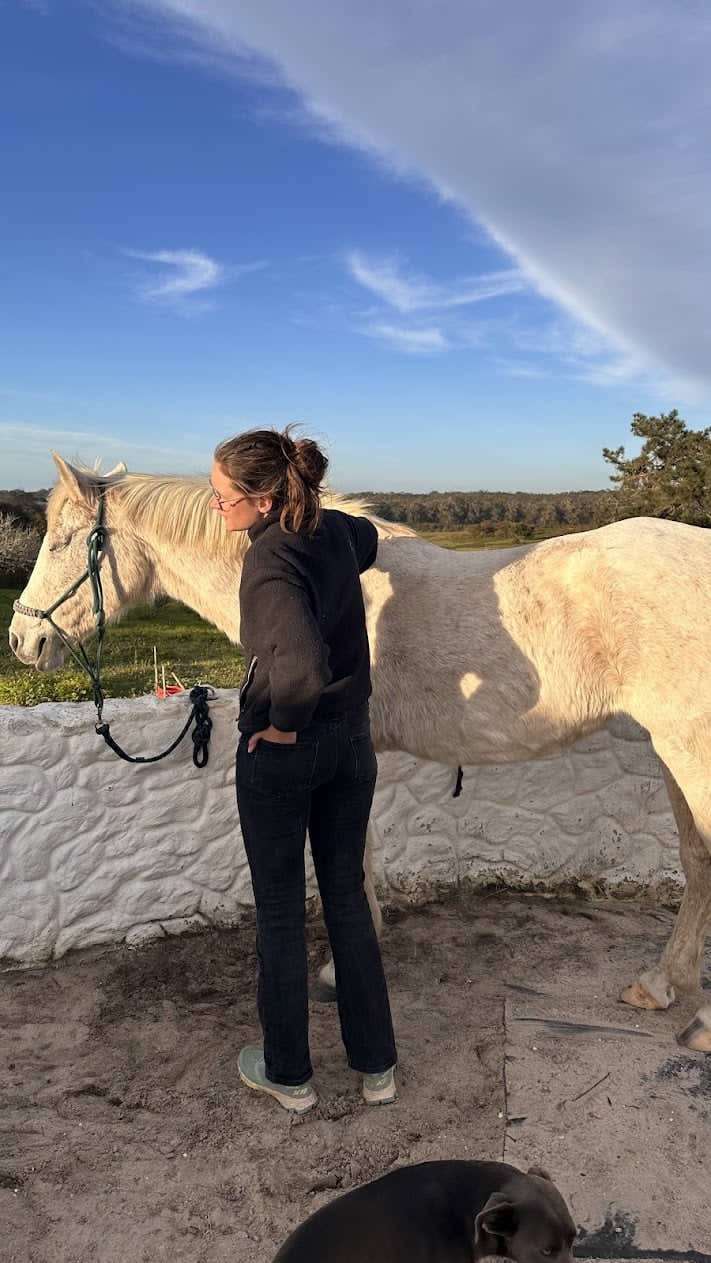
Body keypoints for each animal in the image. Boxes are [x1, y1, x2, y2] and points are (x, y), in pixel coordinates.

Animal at [8, 453, 711, 1054]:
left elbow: (348, 856)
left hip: (687, 751)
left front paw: (336, 967)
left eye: (62, 541)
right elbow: (360, 849)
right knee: (695, 859)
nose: (20, 639)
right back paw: (660, 983)